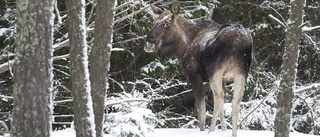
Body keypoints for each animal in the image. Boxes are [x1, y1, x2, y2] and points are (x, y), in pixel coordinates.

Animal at [144, 1, 252, 137]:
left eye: (166, 24)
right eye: (154, 22)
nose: (148, 43)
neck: (183, 48)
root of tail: (238, 40)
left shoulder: (194, 75)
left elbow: (201, 109)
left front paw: (203, 130)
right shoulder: (224, 79)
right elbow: (222, 110)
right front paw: (224, 130)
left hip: (215, 71)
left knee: (218, 98)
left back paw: (210, 131)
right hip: (241, 73)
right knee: (235, 100)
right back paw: (233, 133)